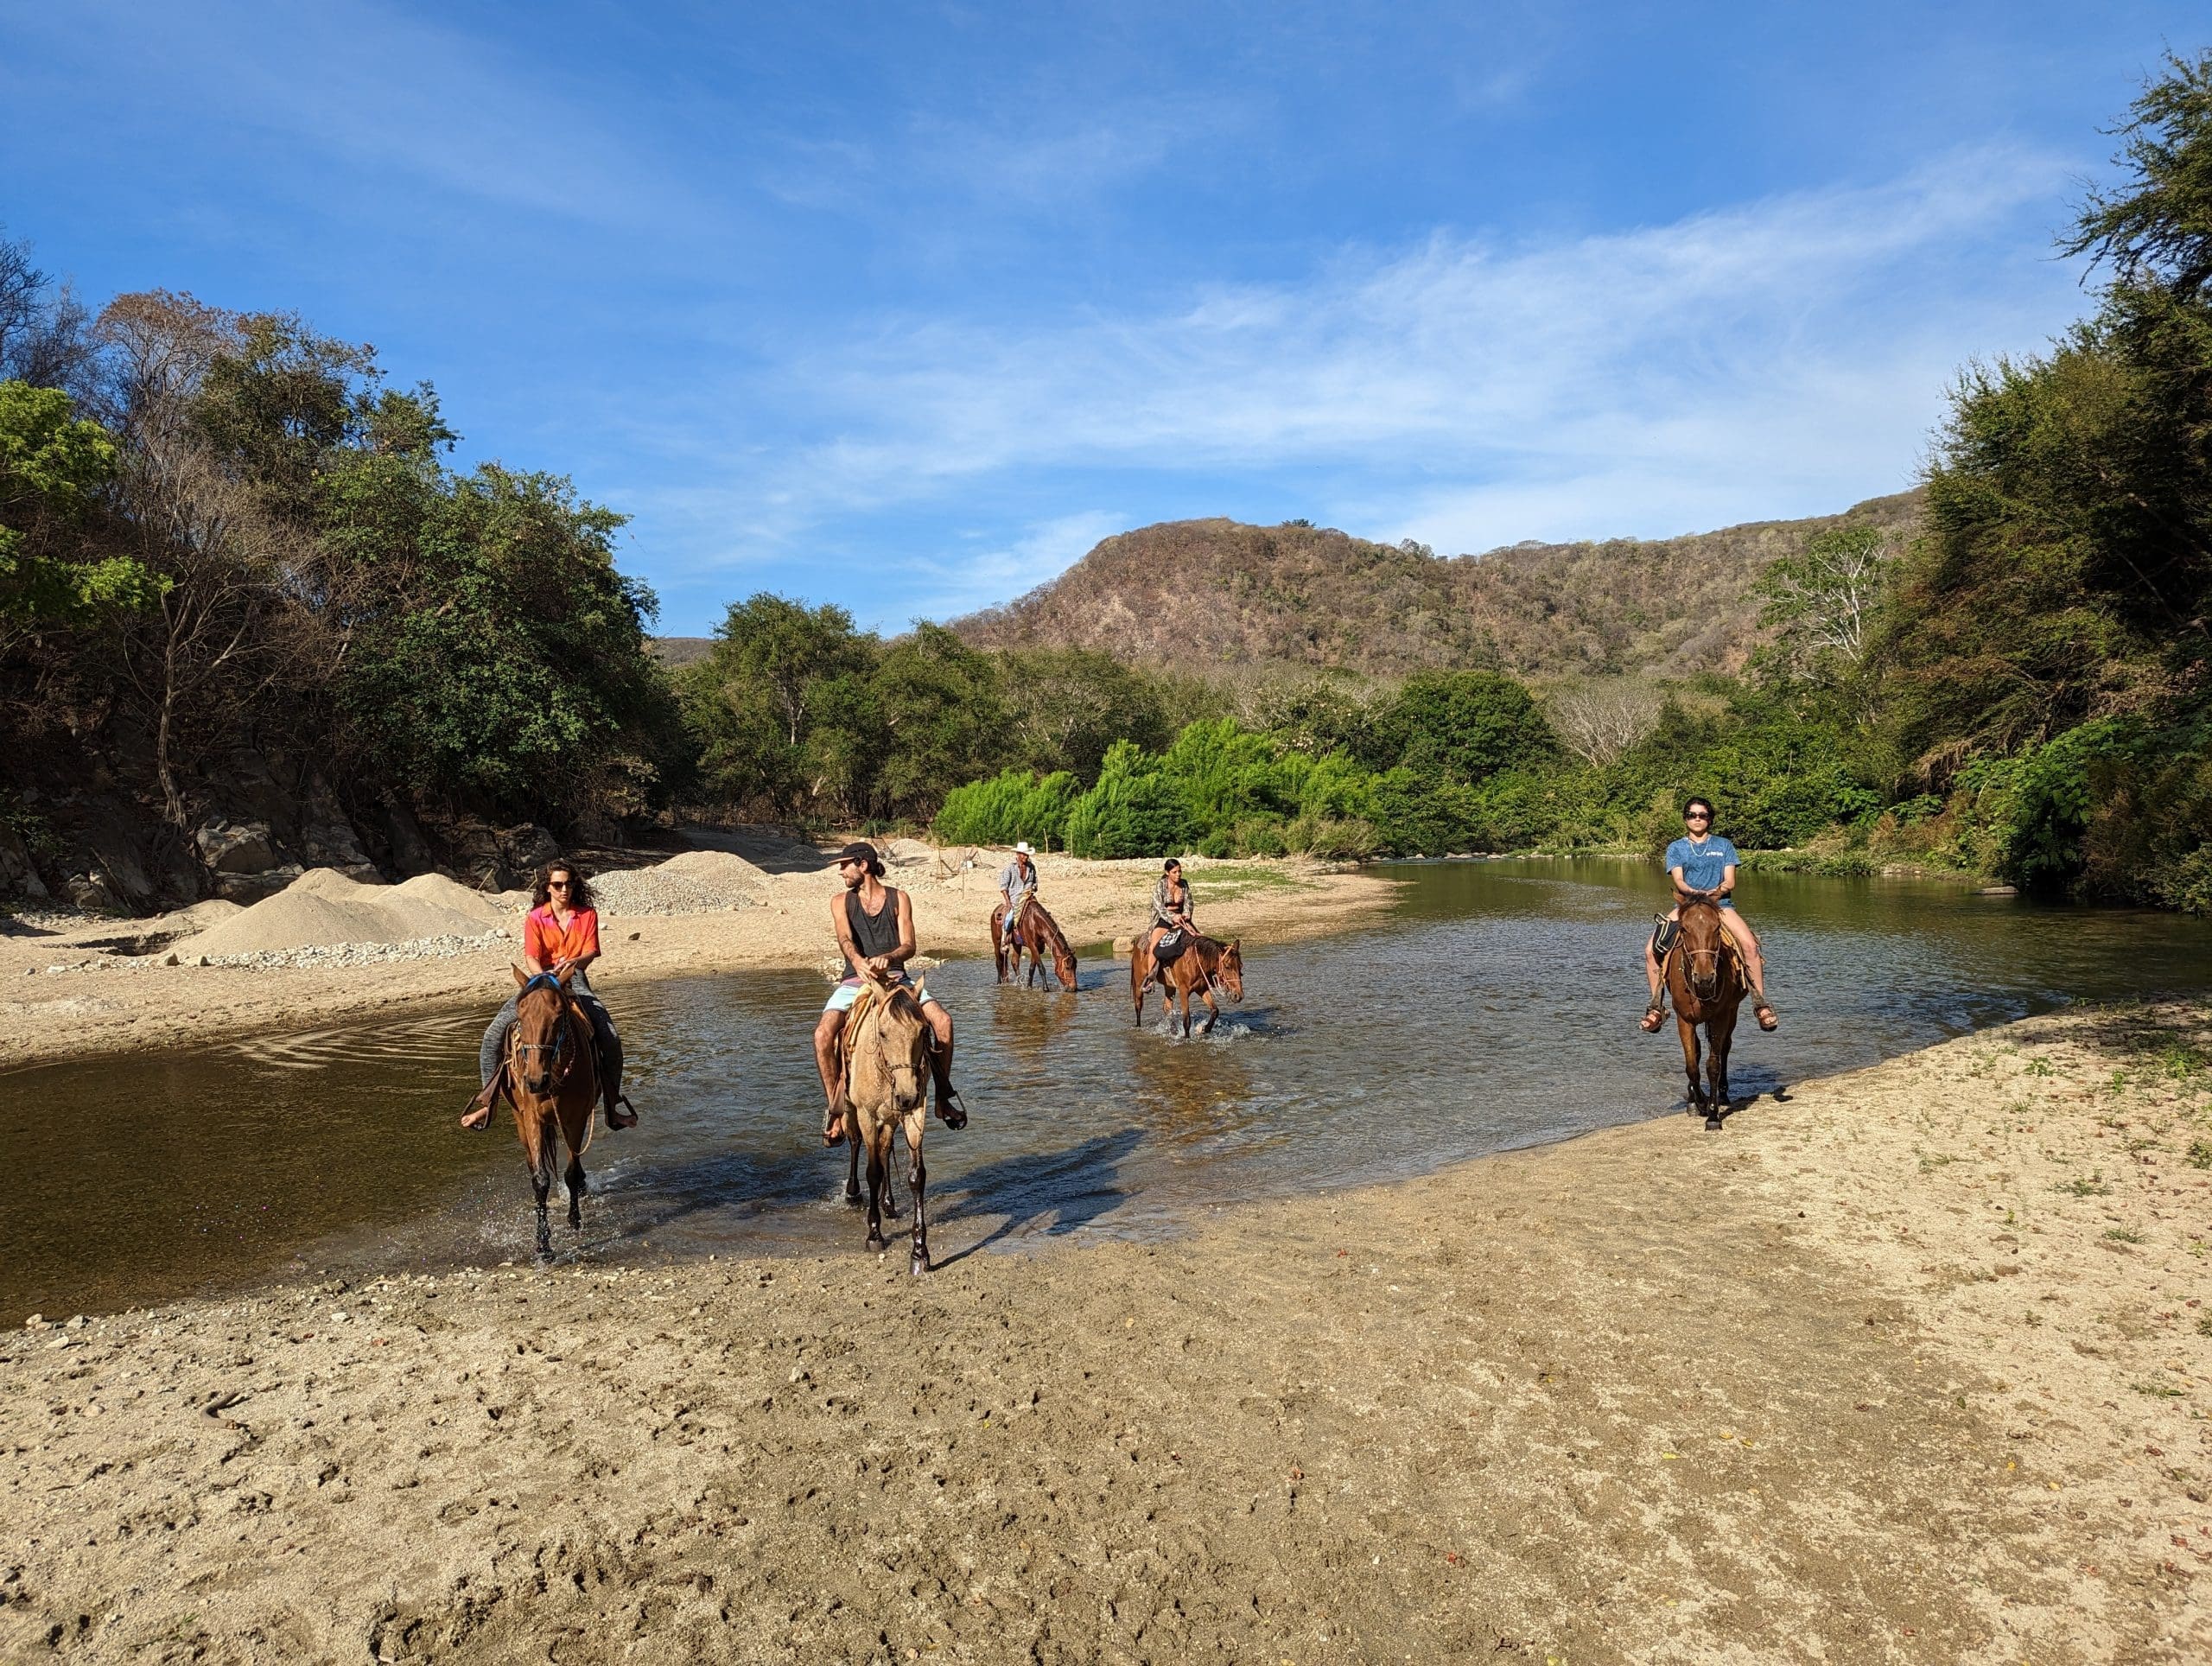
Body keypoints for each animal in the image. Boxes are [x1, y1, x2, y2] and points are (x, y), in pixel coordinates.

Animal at [502, 969, 601, 1256]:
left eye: (558, 1016)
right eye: (521, 1015)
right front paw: (543, 1243)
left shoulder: (575, 1119)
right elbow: (540, 1179)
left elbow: (570, 1172)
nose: (535, 1081)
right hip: (521, 1123)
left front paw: (574, 1220)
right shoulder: (532, 1119)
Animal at [831, 969, 929, 1265]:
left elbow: (916, 1176)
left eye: (924, 1030)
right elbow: (872, 1171)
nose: (906, 1095)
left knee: (885, 1150)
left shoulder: (915, 1114)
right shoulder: (866, 1114)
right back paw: (853, 1194)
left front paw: (920, 1249)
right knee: (855, 1143)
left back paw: (889, 1204)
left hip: (890, 1118)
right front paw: (874, 1234)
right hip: (851, 1109)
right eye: (883, 1033)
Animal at [1123, 929, 1247, 1035]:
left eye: (1240, 966)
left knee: (1167, 1008)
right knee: (1138, 1006)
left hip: (1169, 986)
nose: (1238, 995)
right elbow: (1186, 1020)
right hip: (1139, 982)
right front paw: (1186, 1038)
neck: (1195, 962)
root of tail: (1138, 940)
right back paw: (1139, 1027)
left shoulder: (1201, 989)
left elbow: (1215, 1010)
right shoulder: (1184, 991)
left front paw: (1204, 1029)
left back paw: (1173, 1031)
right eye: (1227, 967)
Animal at [1663, 898, 1751, 1132]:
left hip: (1732, 1012)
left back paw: (1723, 1092)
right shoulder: (1684, 1019)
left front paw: (1712, 1114)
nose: (1704, 978)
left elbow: (1713, 1065)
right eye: (1684, 929)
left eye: (1717, 928)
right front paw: (1698, 1103)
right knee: (1697, 1051)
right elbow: (1692, 1065)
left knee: (1725, 1048)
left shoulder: (1721, 1016)